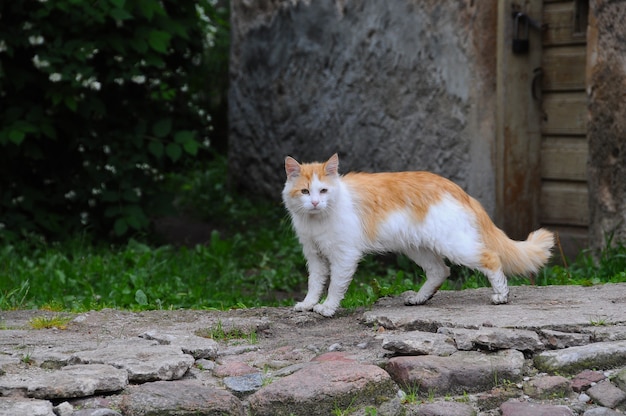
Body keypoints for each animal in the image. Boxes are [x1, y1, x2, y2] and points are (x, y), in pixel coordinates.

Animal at [282, 154, 552, 316]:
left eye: (323, 191)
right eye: (305, 192)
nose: (315, 203)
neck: (317, 219)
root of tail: (458, 190)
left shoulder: (344, 256)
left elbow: (335, 286)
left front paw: (327, 308)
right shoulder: (314, 257)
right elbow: (315, 284)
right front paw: (308, 304)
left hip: (454, 245)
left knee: (491, 258)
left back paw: (501, 296)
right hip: (418, 248)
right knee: (440, 271)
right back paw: (420, 299)